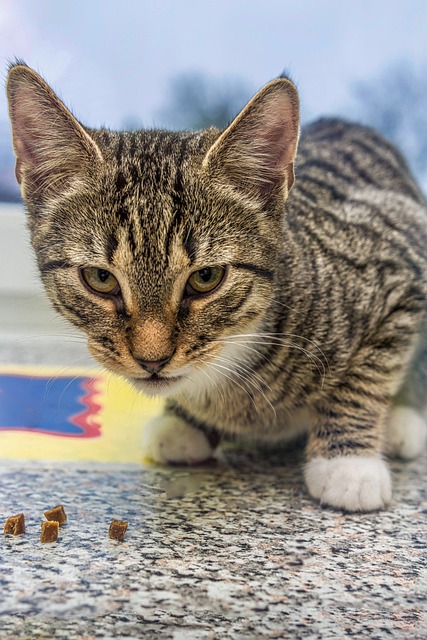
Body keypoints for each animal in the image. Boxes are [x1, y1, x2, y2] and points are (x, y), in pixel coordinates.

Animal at [6, 61, 427, 510]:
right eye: (101, 279)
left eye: (205, 278)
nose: (152, 360)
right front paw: (185, 422)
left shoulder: (400, 261)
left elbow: (368, 374)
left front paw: (348, 464)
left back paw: (402, 422)